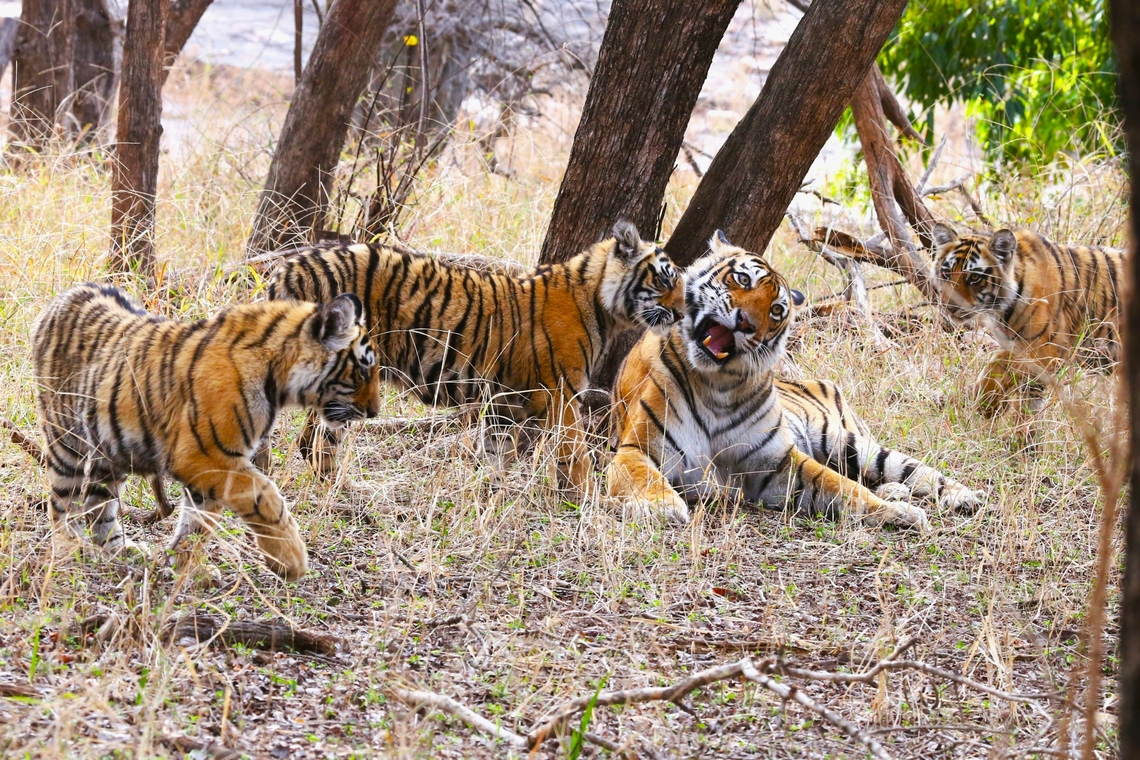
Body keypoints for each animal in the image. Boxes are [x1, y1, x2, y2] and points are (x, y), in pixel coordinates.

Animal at [31, 283, 380, 581]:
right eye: (364, 368)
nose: (375, 412)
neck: (278, 378)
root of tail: (62, 298)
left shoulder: (213, 465)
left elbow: (198, 524)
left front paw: (184, 567)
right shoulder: (203, 455)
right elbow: (264, 494)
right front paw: (290, 560)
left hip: (111, 450)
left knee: (98, 504)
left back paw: (122, 551)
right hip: (66, 440)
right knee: (61, 503)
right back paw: (67, 551)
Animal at [265, 221, 685, 492]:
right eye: (665, 279)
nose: (683, 314)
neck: (601, 303)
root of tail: (292, 266)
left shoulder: (504, 404)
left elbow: (498, 454)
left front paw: (492, 496)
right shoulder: (563, 398)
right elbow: (574, 455)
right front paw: (585, 501)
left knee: (305, 439)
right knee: (318, 441)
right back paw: (346, 493)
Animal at [607, 231, 984, 526]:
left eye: (776, 310)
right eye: (742, 280)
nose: (745, 323)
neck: (718, 385)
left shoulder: (779, 463)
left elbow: (843, 486)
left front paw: (898, 512)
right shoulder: (636, 450)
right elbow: (643, 477)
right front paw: (661, 506)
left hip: (853, 445)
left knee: (914, 471)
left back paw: (962, 496)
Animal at [931, 223, 1124, 416]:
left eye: (974, 277)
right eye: (946, 272)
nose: (949, 306)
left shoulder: (1047, 348)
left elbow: (1002, 364)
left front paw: (986, 402)